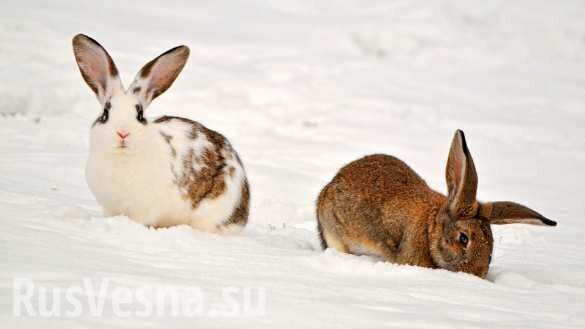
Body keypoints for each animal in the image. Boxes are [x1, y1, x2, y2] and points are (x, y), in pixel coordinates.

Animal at [72, 34, 248, 232]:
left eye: (140, 115)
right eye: (105, 114)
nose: (123, 133)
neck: (122, 158)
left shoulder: (145, 210)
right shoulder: (110, 207)